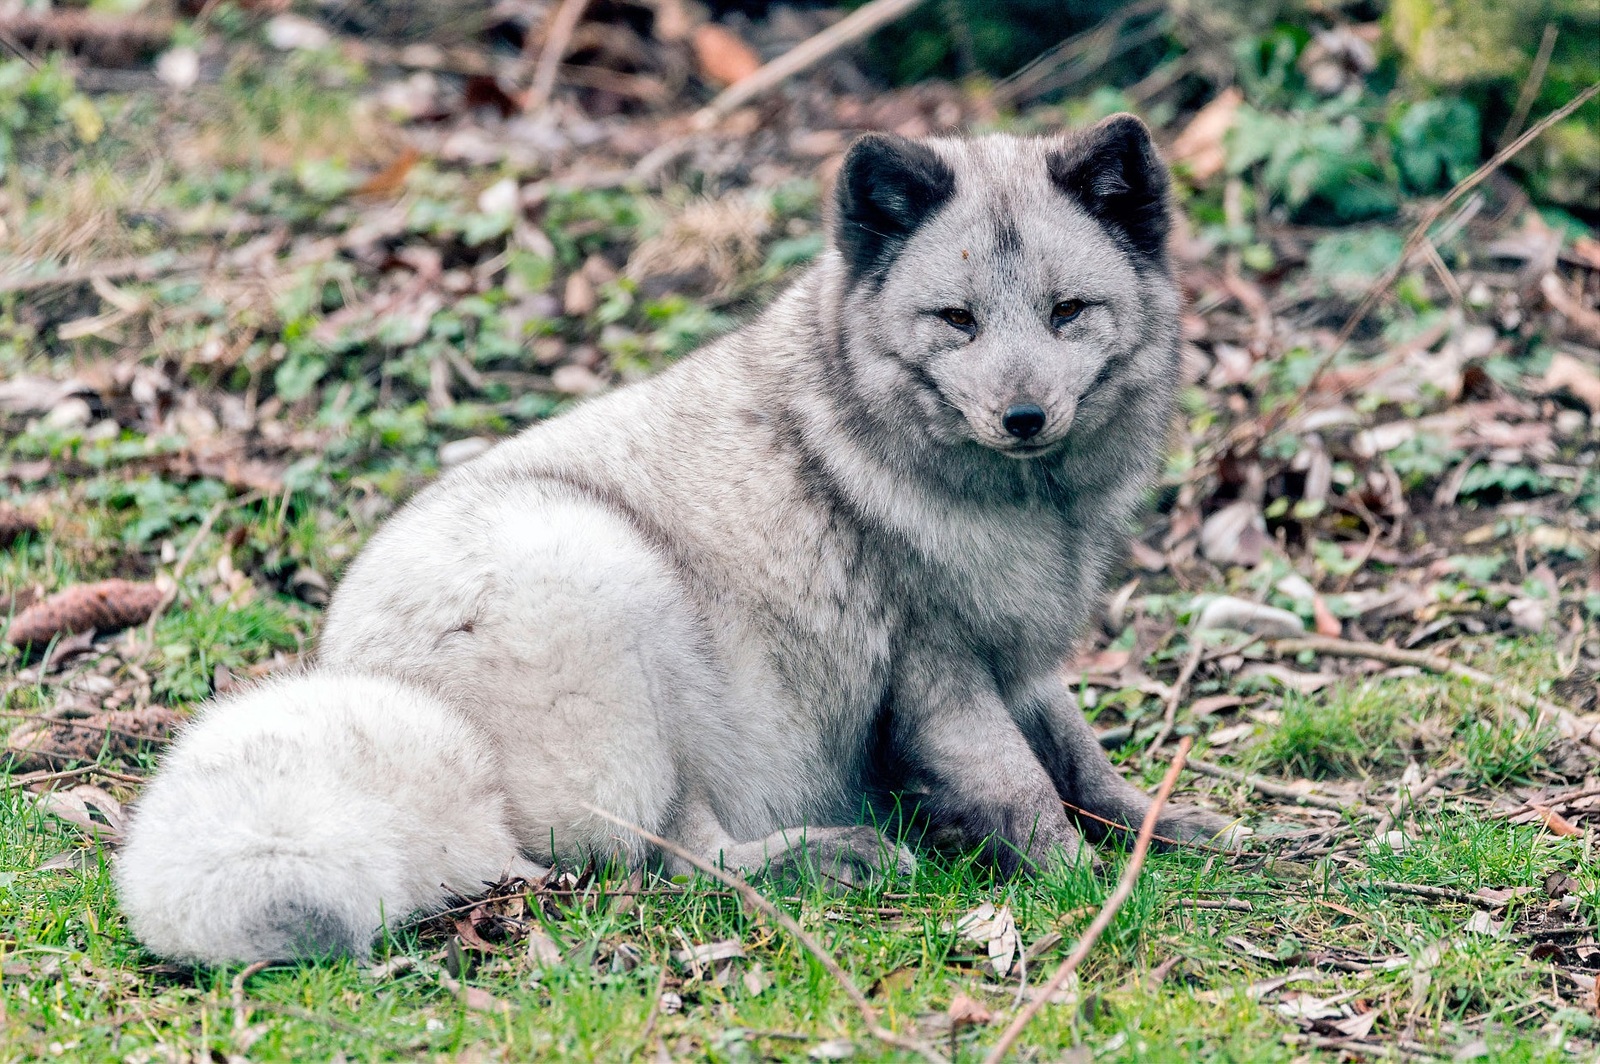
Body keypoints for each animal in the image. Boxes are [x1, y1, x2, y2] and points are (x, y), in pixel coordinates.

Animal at [116, 116, 1235, 960]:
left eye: (1066, 312)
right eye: (956, 320)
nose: (1023, 415)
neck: (1027, 506)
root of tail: (378, 681)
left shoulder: (1023, 659)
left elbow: (1082, 759)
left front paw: (1160, 827)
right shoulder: (940, 668)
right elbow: (1021, 786)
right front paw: (1088, 891)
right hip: (616, 596)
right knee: (671, 860)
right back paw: (834, 859)